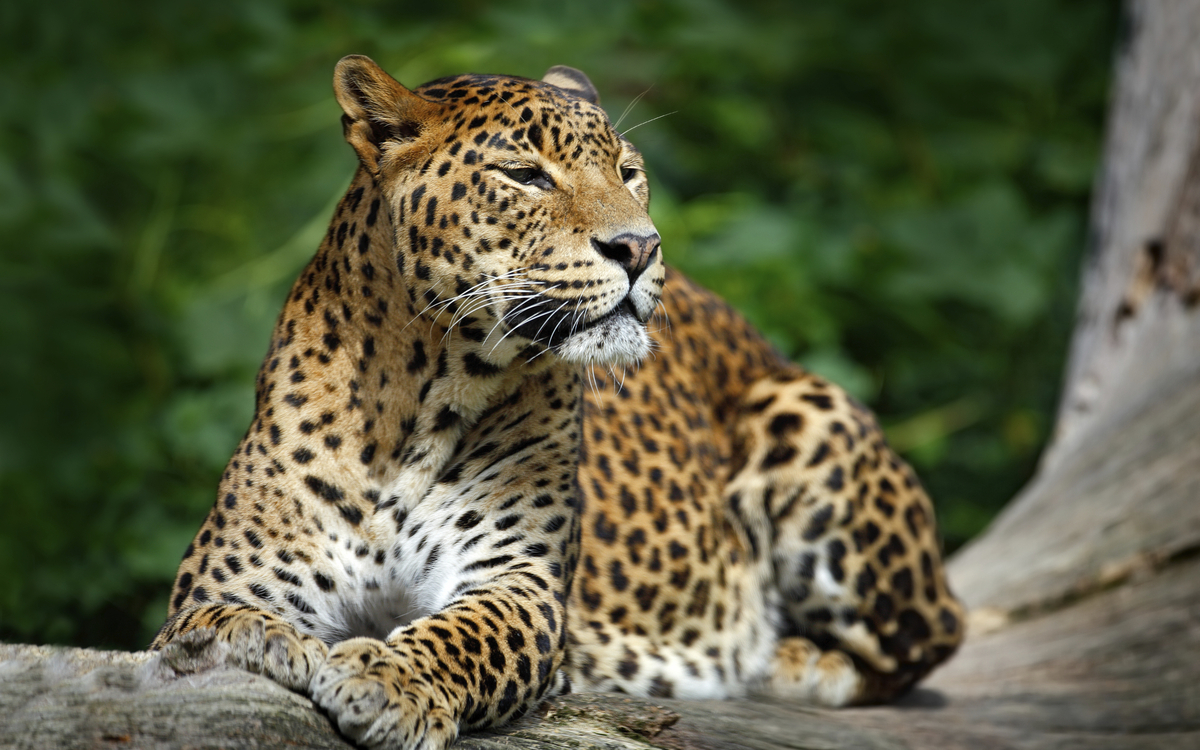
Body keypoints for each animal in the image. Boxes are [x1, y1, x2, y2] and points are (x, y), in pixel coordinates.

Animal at [152, 55, 965, 750]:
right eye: (525, 175)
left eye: (629, 173)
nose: (640, 247)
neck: (419, 397)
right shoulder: (234, 573)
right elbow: (212, 619)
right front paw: (254, 641)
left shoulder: (519, 581)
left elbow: (462, 635)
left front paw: (388, 679)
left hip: (807, 411)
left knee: (933, 635)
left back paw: (790, 660)